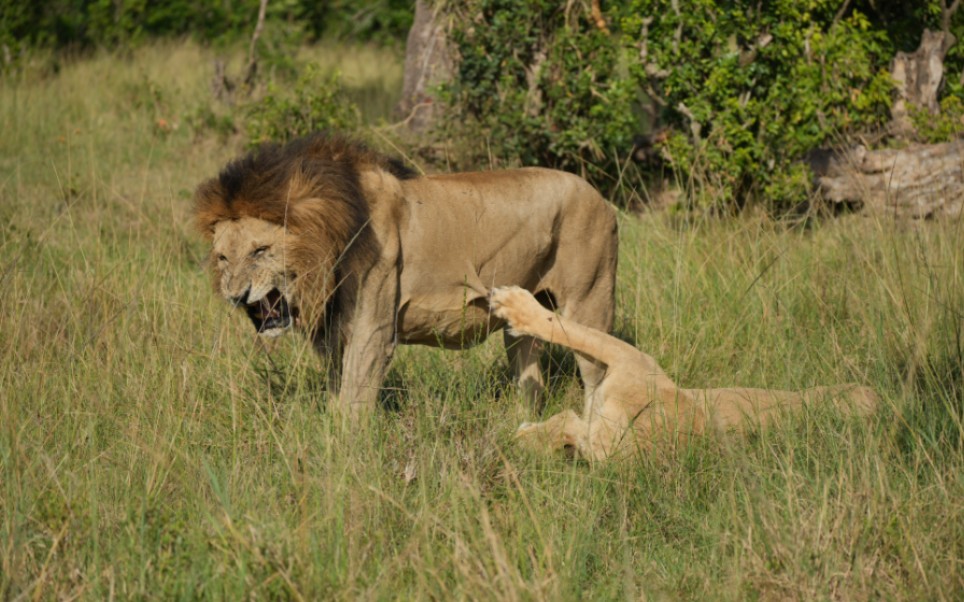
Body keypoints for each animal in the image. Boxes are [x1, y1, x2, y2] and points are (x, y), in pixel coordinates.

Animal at [196, 131, 616, 412]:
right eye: (223, 258)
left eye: (261, 250)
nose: (235, 296)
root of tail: (603, 198)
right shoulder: (335, 334)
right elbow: (337, 395)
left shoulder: (373, 331)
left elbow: (354, 403)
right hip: (522, 320)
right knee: (531, 382)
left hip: (589, 301)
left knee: (599, 374)